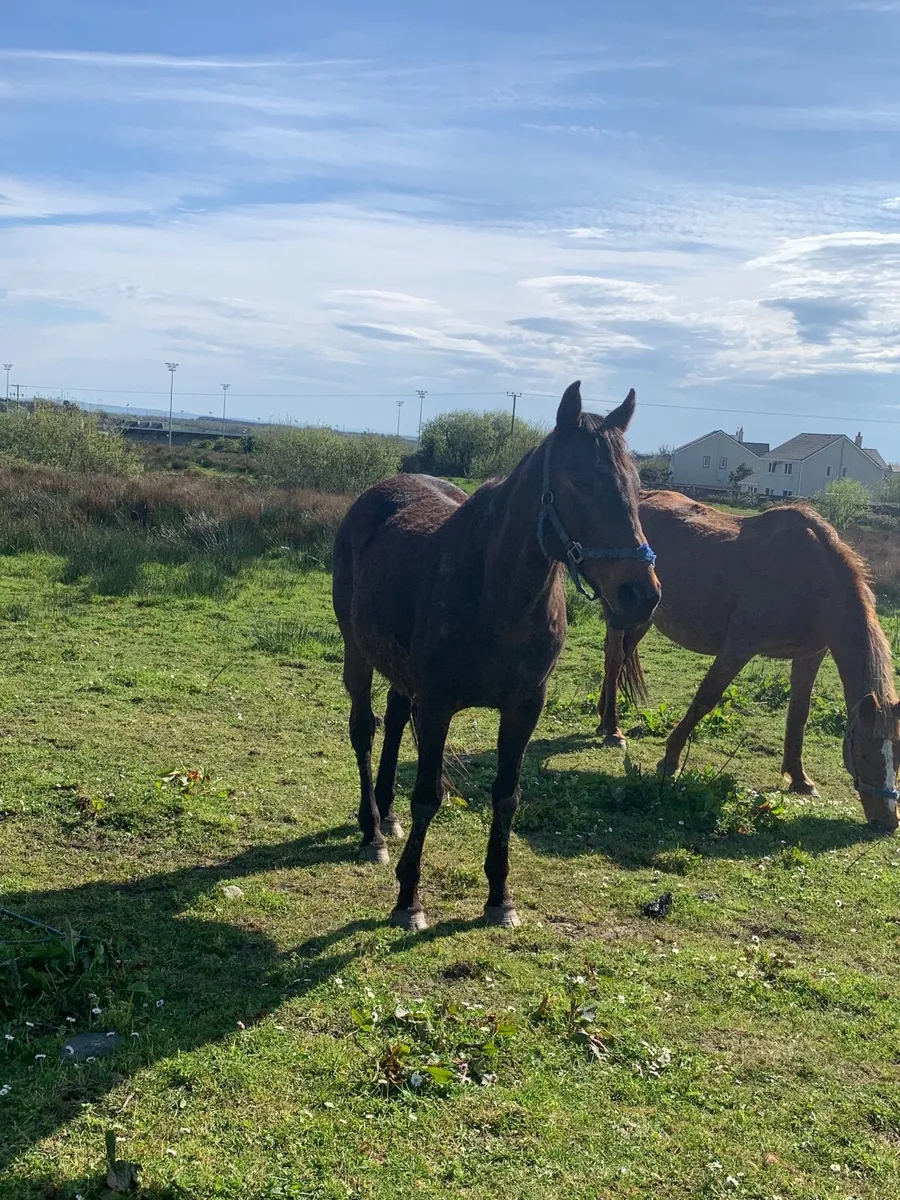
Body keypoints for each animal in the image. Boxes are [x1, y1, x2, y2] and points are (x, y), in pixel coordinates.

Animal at [332, 382, 661, 931]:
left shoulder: (524, 707)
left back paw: (388, 814)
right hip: (356, 653)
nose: (642, 593)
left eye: (636, 486)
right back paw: (373, 832)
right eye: (579, 481)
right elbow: (427, 797)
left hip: (401, 673)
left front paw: (500, 898)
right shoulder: (438, 705)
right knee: (364, 729)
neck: (496, 593)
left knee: (395, 721)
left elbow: (507, 796)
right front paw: (408, 901)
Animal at [596, 490, 899, 830]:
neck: (809, 579)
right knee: (614, 659)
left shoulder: (810, 655)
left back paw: (603, 718)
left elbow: (799, 713)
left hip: (644, 617)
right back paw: (612, 730)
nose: (888, 821)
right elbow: (705, 699)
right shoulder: (738, 648)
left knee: (619, 658)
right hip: (619, 612)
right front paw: (670, 759)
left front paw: (800, 779)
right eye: (864, 754)